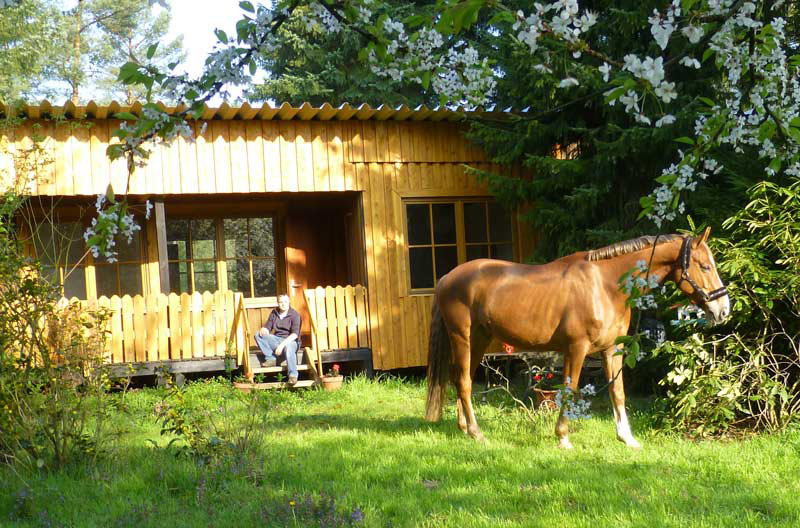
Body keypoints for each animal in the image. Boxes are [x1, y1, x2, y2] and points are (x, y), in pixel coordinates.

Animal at [424, 228, 729, 448]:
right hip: (462, 339)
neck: (606, 285)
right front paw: (562, 437)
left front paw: (627, 438)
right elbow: (569, 390)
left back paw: (465, 429)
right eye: (705, 266)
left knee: (462, 379)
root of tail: (447, 277)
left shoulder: (612, 349)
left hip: (479, 340)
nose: (723, 309)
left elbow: (617, 391)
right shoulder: (576, 349)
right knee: (464, 382)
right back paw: (477, 433)